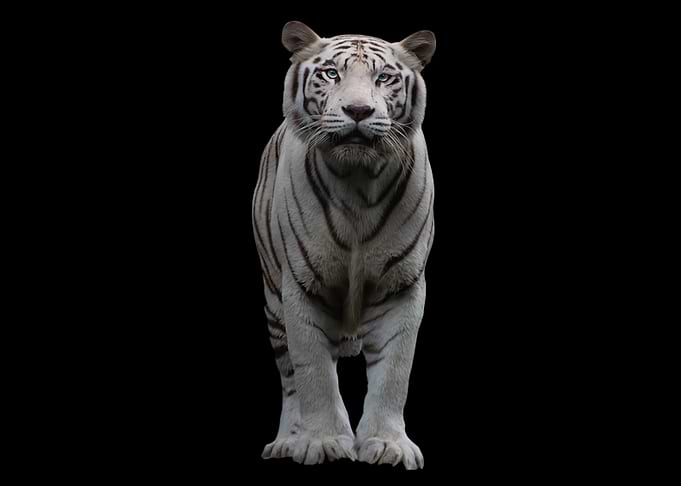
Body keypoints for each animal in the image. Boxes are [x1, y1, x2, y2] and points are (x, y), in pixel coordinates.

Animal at [252, 21, 436, 469]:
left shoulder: (402, 285)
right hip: (273, 302)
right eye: (332, 73)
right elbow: (313, 372)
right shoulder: (301, 285)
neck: (358, 182)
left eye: (383, 78)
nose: (358, 111)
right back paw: (287, 441)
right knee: (290, 379)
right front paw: (321, 442)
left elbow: (394, 371)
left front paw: (388, 444)